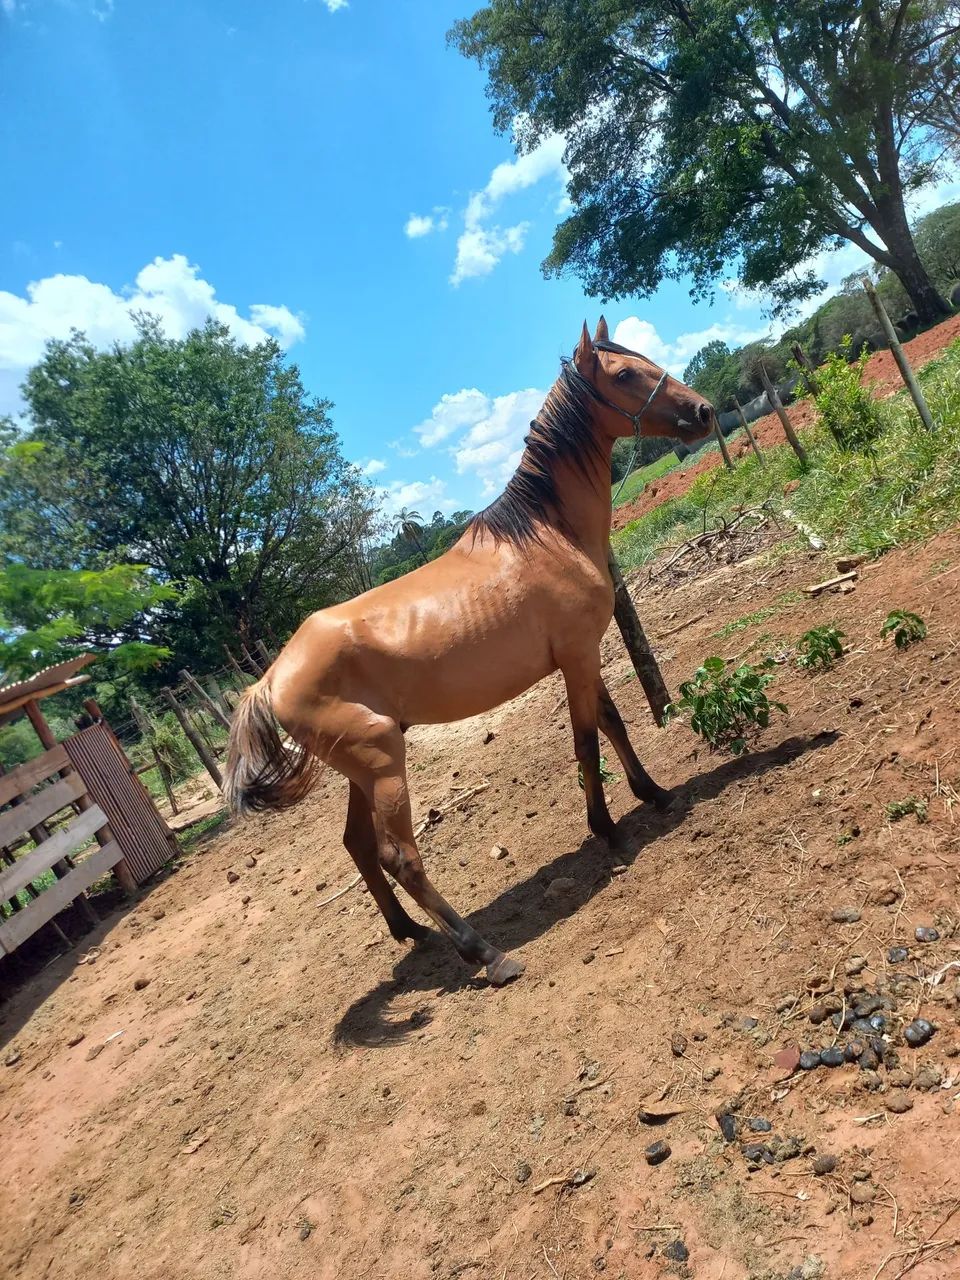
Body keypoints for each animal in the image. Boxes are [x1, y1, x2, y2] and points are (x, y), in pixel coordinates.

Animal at [224, 318, 714, 984]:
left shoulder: (582, 655)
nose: (704, 411)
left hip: (362, 769)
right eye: (623, 374)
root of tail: (270, 677)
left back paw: (411, 933)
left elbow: (613, 724)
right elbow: (587, 741)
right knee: (399, 856)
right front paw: (607, 829)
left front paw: (654, 794)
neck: (547, 534)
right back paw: (484, 952)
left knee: (358, 847)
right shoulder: (577, 658)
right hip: (383, 763)